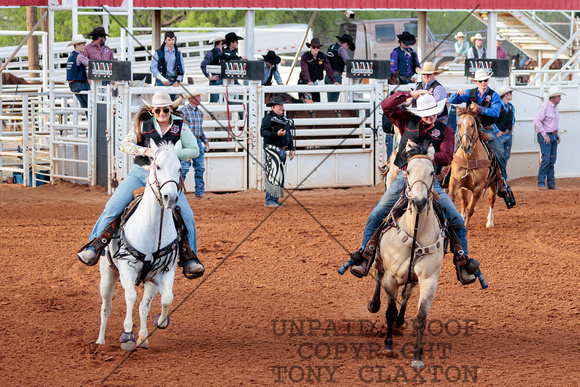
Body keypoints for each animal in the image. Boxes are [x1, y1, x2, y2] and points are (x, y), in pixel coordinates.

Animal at [370, 144, 446, 368]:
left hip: (412, 279)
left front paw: (418, 357)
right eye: (409, 171)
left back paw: (400, 322)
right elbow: (389, 311)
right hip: (378, 261)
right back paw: (374, 304)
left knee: (406, 294)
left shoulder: (429, 280)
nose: (419, 201)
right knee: (377, 274)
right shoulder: (391, 277)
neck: (416, 230)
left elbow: (420, 318)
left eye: (432, 172)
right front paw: (387, 346)